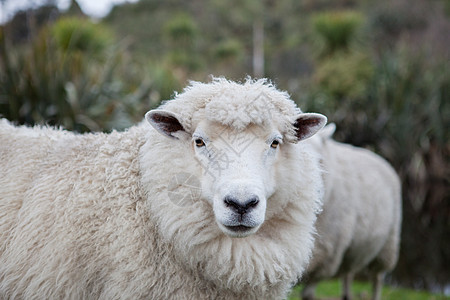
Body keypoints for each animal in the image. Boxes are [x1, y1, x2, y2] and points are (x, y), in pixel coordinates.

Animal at [302, 123, 400, 300]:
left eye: (320, 161)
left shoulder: (326, 255)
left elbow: (308, 293)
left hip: (387, 246)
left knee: (377, 278)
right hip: (352, 249)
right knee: (348, 272)